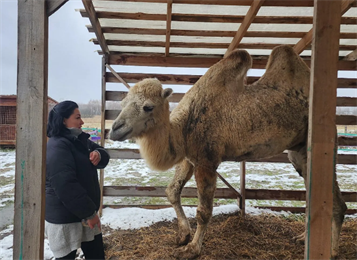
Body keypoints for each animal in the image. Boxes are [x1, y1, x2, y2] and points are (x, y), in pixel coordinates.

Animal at [108, 45, 344, 258]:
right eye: (123, 102)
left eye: (148, 106)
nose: (115, 128)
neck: (182, 127)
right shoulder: (189, 157)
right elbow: (172, 191)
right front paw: (183, 235)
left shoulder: (206, 160)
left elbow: (203, 212)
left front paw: (191, 250)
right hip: (298, 152)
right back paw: (304, 238)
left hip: (322, 142)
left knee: (336, 200)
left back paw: (332, 251)